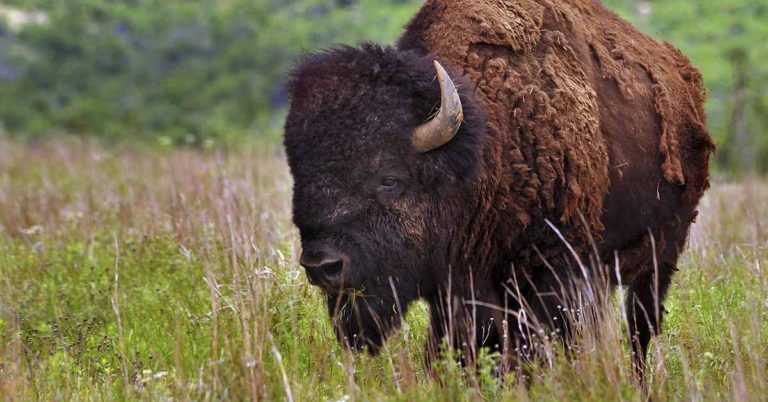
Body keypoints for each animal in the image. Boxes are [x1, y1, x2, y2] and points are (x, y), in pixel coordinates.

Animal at [283, 0, 714, 380]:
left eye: (389, 179)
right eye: (299, 175)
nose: (322, 265)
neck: (485, 150)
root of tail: (684, 80)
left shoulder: (551, 273)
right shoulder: (456, 286)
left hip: (662, 254)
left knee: (640, 328)